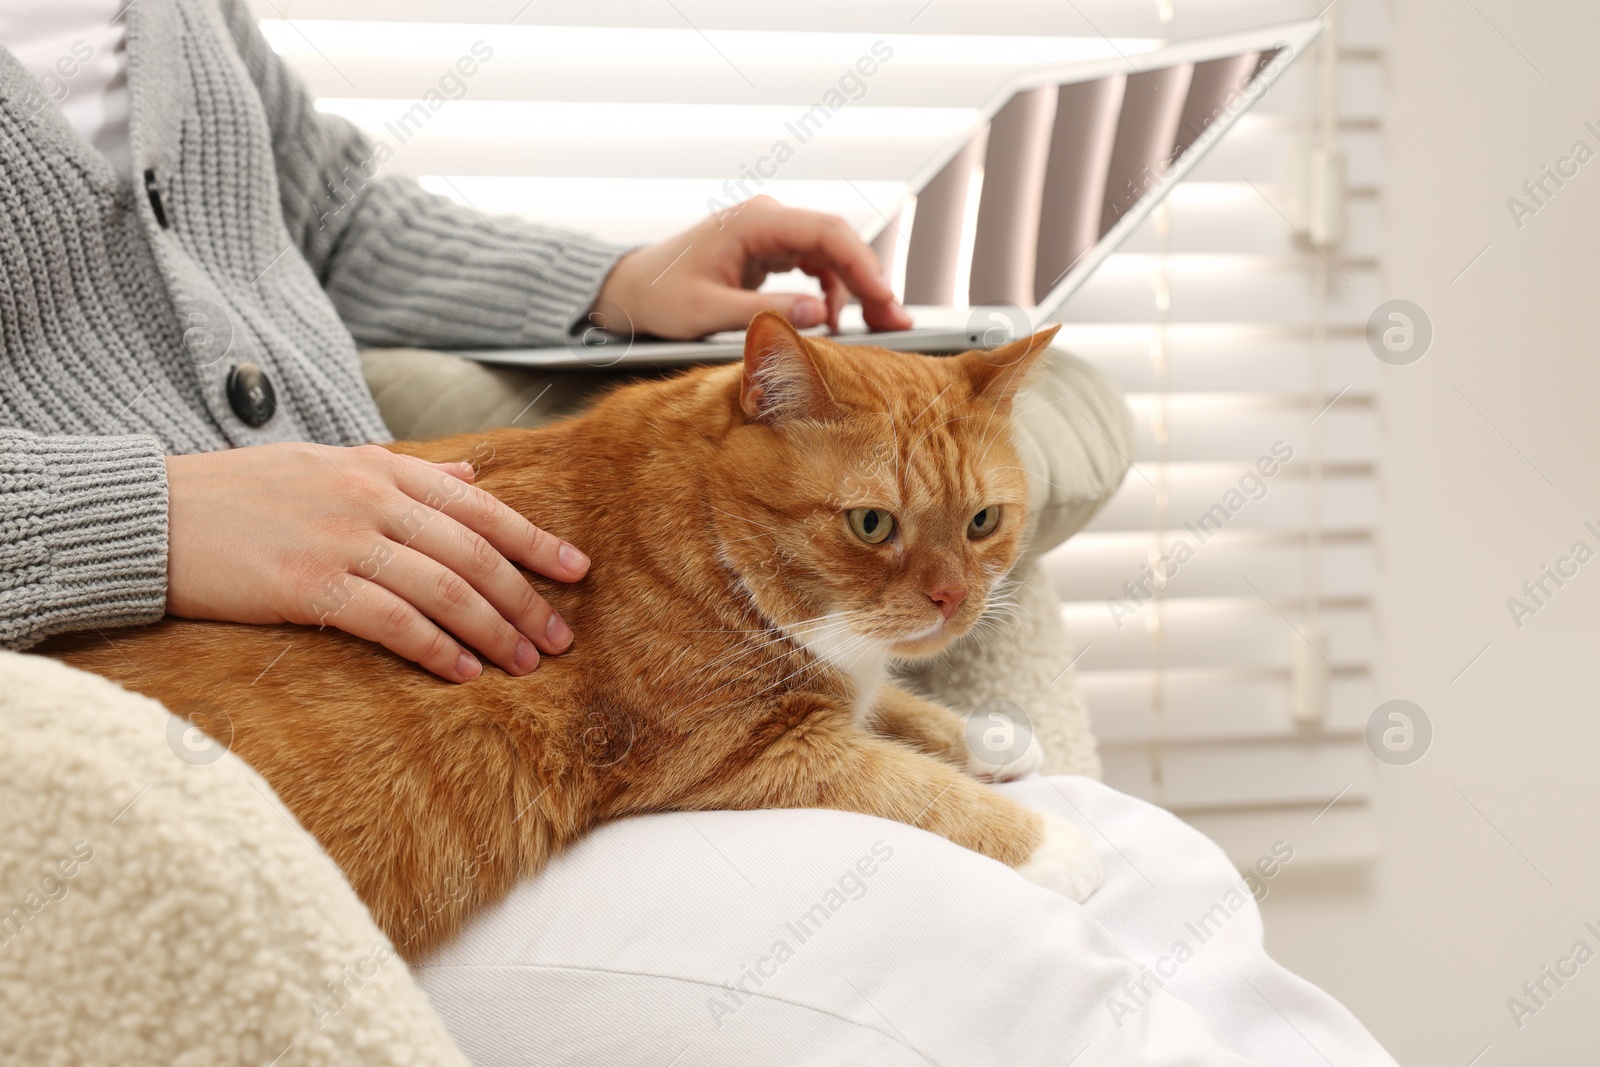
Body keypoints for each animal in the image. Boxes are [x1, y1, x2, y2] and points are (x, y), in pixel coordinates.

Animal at [50, 313, 1100, 953]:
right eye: (873, 524)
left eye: (982, 522)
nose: (954, 601)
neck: (700, 524)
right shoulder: (753, 751)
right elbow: (918, 787)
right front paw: (1059, 847)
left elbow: (905, 711)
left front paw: (991, 734)